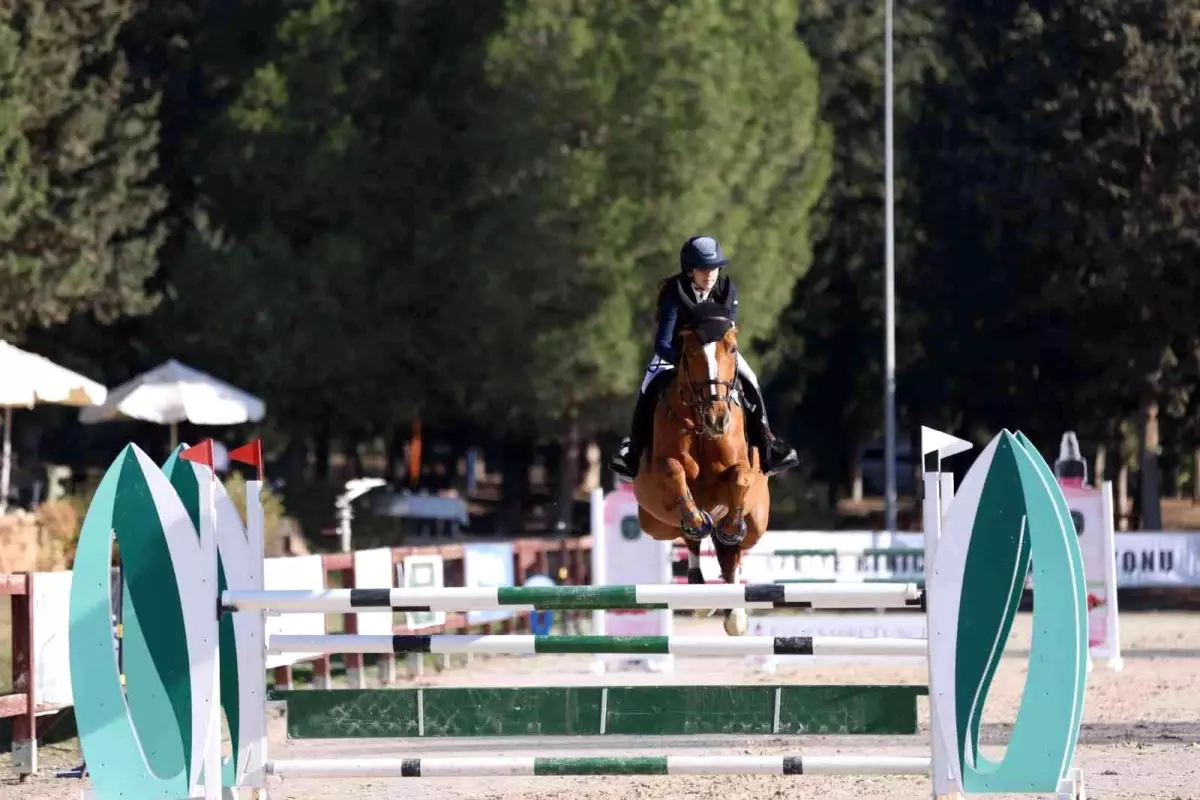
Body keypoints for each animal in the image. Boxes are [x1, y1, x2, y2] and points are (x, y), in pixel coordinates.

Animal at [628, 307, 768, 638]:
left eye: (732, 349)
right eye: (689, 352)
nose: (718, 419)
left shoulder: (742, 467)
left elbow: (740, 476)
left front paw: (731, 527)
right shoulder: (662, 469)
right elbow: (674, 471)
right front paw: (695, 519)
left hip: (757, 523)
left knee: (734, 553)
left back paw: (735, 613)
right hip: (656, 524)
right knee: (689, 538)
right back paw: (699, 588)